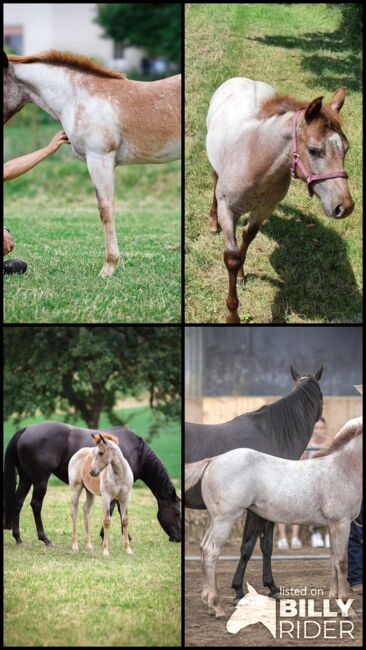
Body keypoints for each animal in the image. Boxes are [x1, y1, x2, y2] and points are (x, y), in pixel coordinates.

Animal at [2, 420, 180, 540]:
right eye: (178, 512)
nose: (178, 538)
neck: (135, 451)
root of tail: (26, 429)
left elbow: (117, 510)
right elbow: (115, 509)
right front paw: (115, 536)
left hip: (26, 478)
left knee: (18, 502)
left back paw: (18, 538)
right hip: (40, 480)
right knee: (36, 504)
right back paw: (44, 538)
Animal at [186, 364, 324, 596]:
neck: (273, 435)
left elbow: (266, 545)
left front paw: (269, 585)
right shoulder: (256, 509)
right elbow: (248, 546)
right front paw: (240, 589)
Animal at [186, 422, 364, 616]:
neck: (343, 468)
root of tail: (213, 460)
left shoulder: (332, 525)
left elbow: (333, 559)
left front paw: (333, 600)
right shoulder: (342, 523)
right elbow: (342, 562)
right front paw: (346, 606)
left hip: (215, 520)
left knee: (203, 547)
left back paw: (207, 601)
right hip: (225, 520)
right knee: (211, 552)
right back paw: (215, 605)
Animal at [206, 78, 354, 322]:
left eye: (346, 148)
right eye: (314, 150)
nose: (344, 207)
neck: (254, 158)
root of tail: (243, 79)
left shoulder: (264, 210)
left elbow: (247, 238)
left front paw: (241, 274)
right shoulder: (228, 210)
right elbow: (232, 258)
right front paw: (232, 316)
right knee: (214, 179)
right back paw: (211, 222)